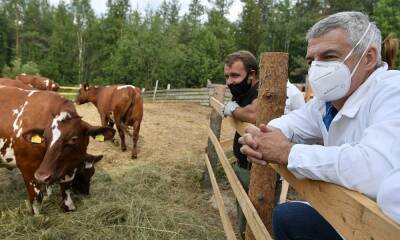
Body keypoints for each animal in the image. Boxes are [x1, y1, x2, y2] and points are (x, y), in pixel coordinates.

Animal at [0, 86, 115, 214]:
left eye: (73, 138)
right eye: (45, 138)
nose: (86, 193)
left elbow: (65, 190)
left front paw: (69, 206)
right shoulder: (29, 169)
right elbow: (36, 200)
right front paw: (38, 216)